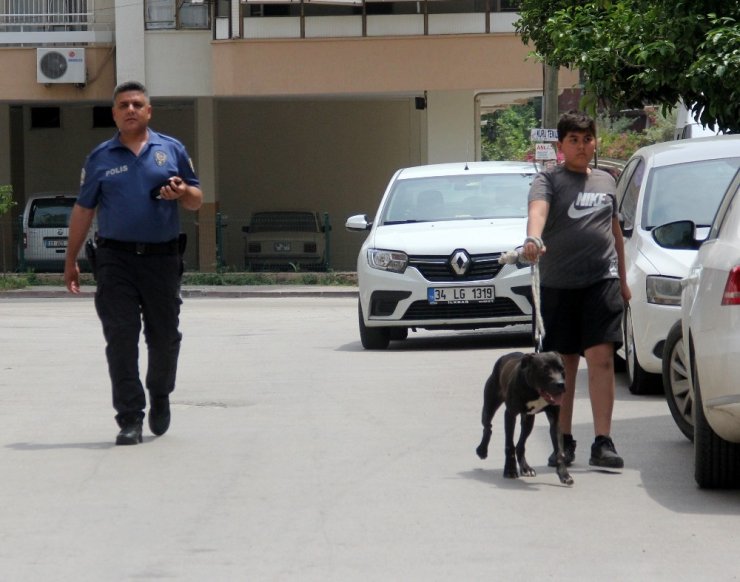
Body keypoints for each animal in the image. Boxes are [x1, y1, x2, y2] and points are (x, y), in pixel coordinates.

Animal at [475, 351, 573, 486]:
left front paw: (564, 474)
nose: (560, 384)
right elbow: (509, 445)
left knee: (520, 444)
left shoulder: (556, 420)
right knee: (487, 427)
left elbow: (559, 451)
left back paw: (526, 468)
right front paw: (510, 470)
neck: (535, 391)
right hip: (489, 406)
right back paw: (482, 450)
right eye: (545, 369)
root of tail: (504, 356)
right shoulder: (510, 415)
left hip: (528, 421)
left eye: (562, 369)